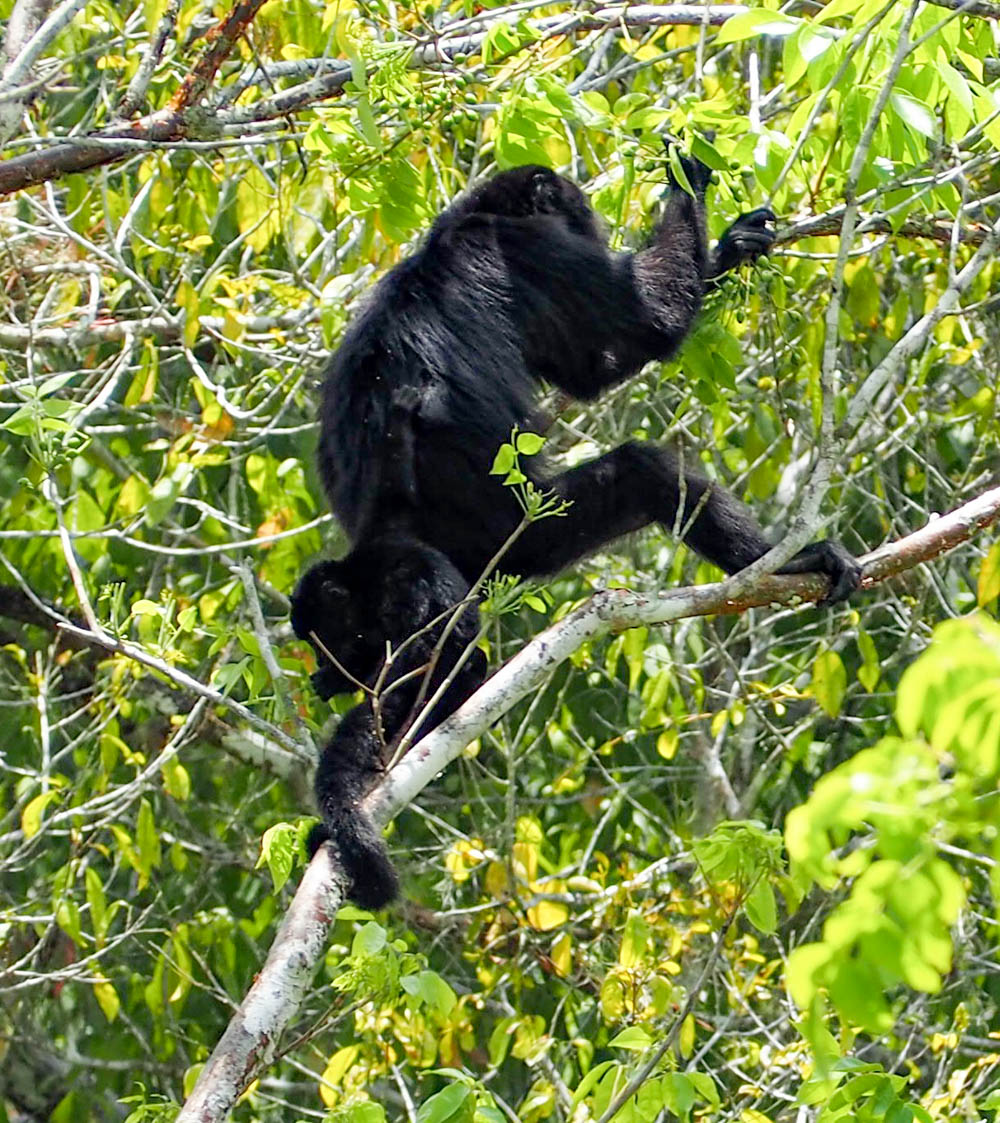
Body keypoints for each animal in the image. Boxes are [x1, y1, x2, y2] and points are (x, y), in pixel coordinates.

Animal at [289, 158, 858, 907]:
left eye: (343, 646)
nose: (329, 673)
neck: (451, 229)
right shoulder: (529, 251)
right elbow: (635, 337)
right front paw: (689, 176)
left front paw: (731, 246)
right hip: (512, 537)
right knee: (641, 473)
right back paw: (782, 562)